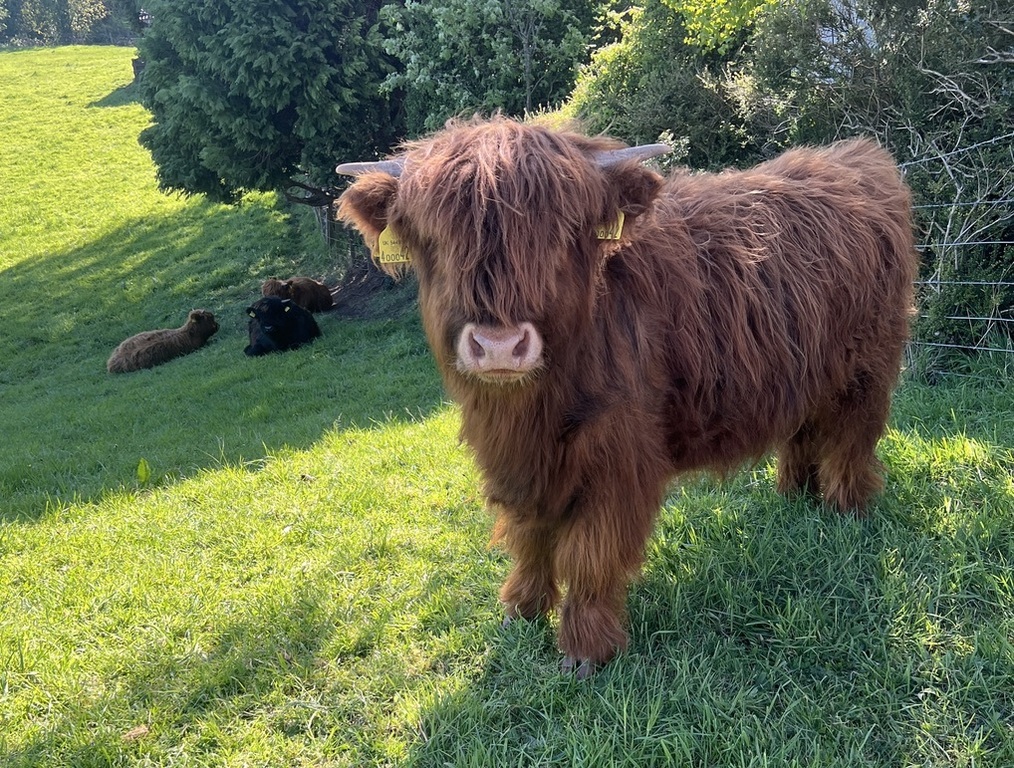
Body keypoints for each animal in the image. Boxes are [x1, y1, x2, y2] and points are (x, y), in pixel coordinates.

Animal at [335, 117, 918, 677]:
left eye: (563, 233)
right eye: (435, 238)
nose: (499, 346)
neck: (535, 407)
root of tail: (858, 157)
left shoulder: (618, 454)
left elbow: (589, 553)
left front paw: (583, 651)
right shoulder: (518, 457)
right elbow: (529, 536)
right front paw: (521, 611)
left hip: (867, 367)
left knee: (852, 438)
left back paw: (847, 509)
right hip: (805, 370)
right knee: (804, 431)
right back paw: (797, 496)